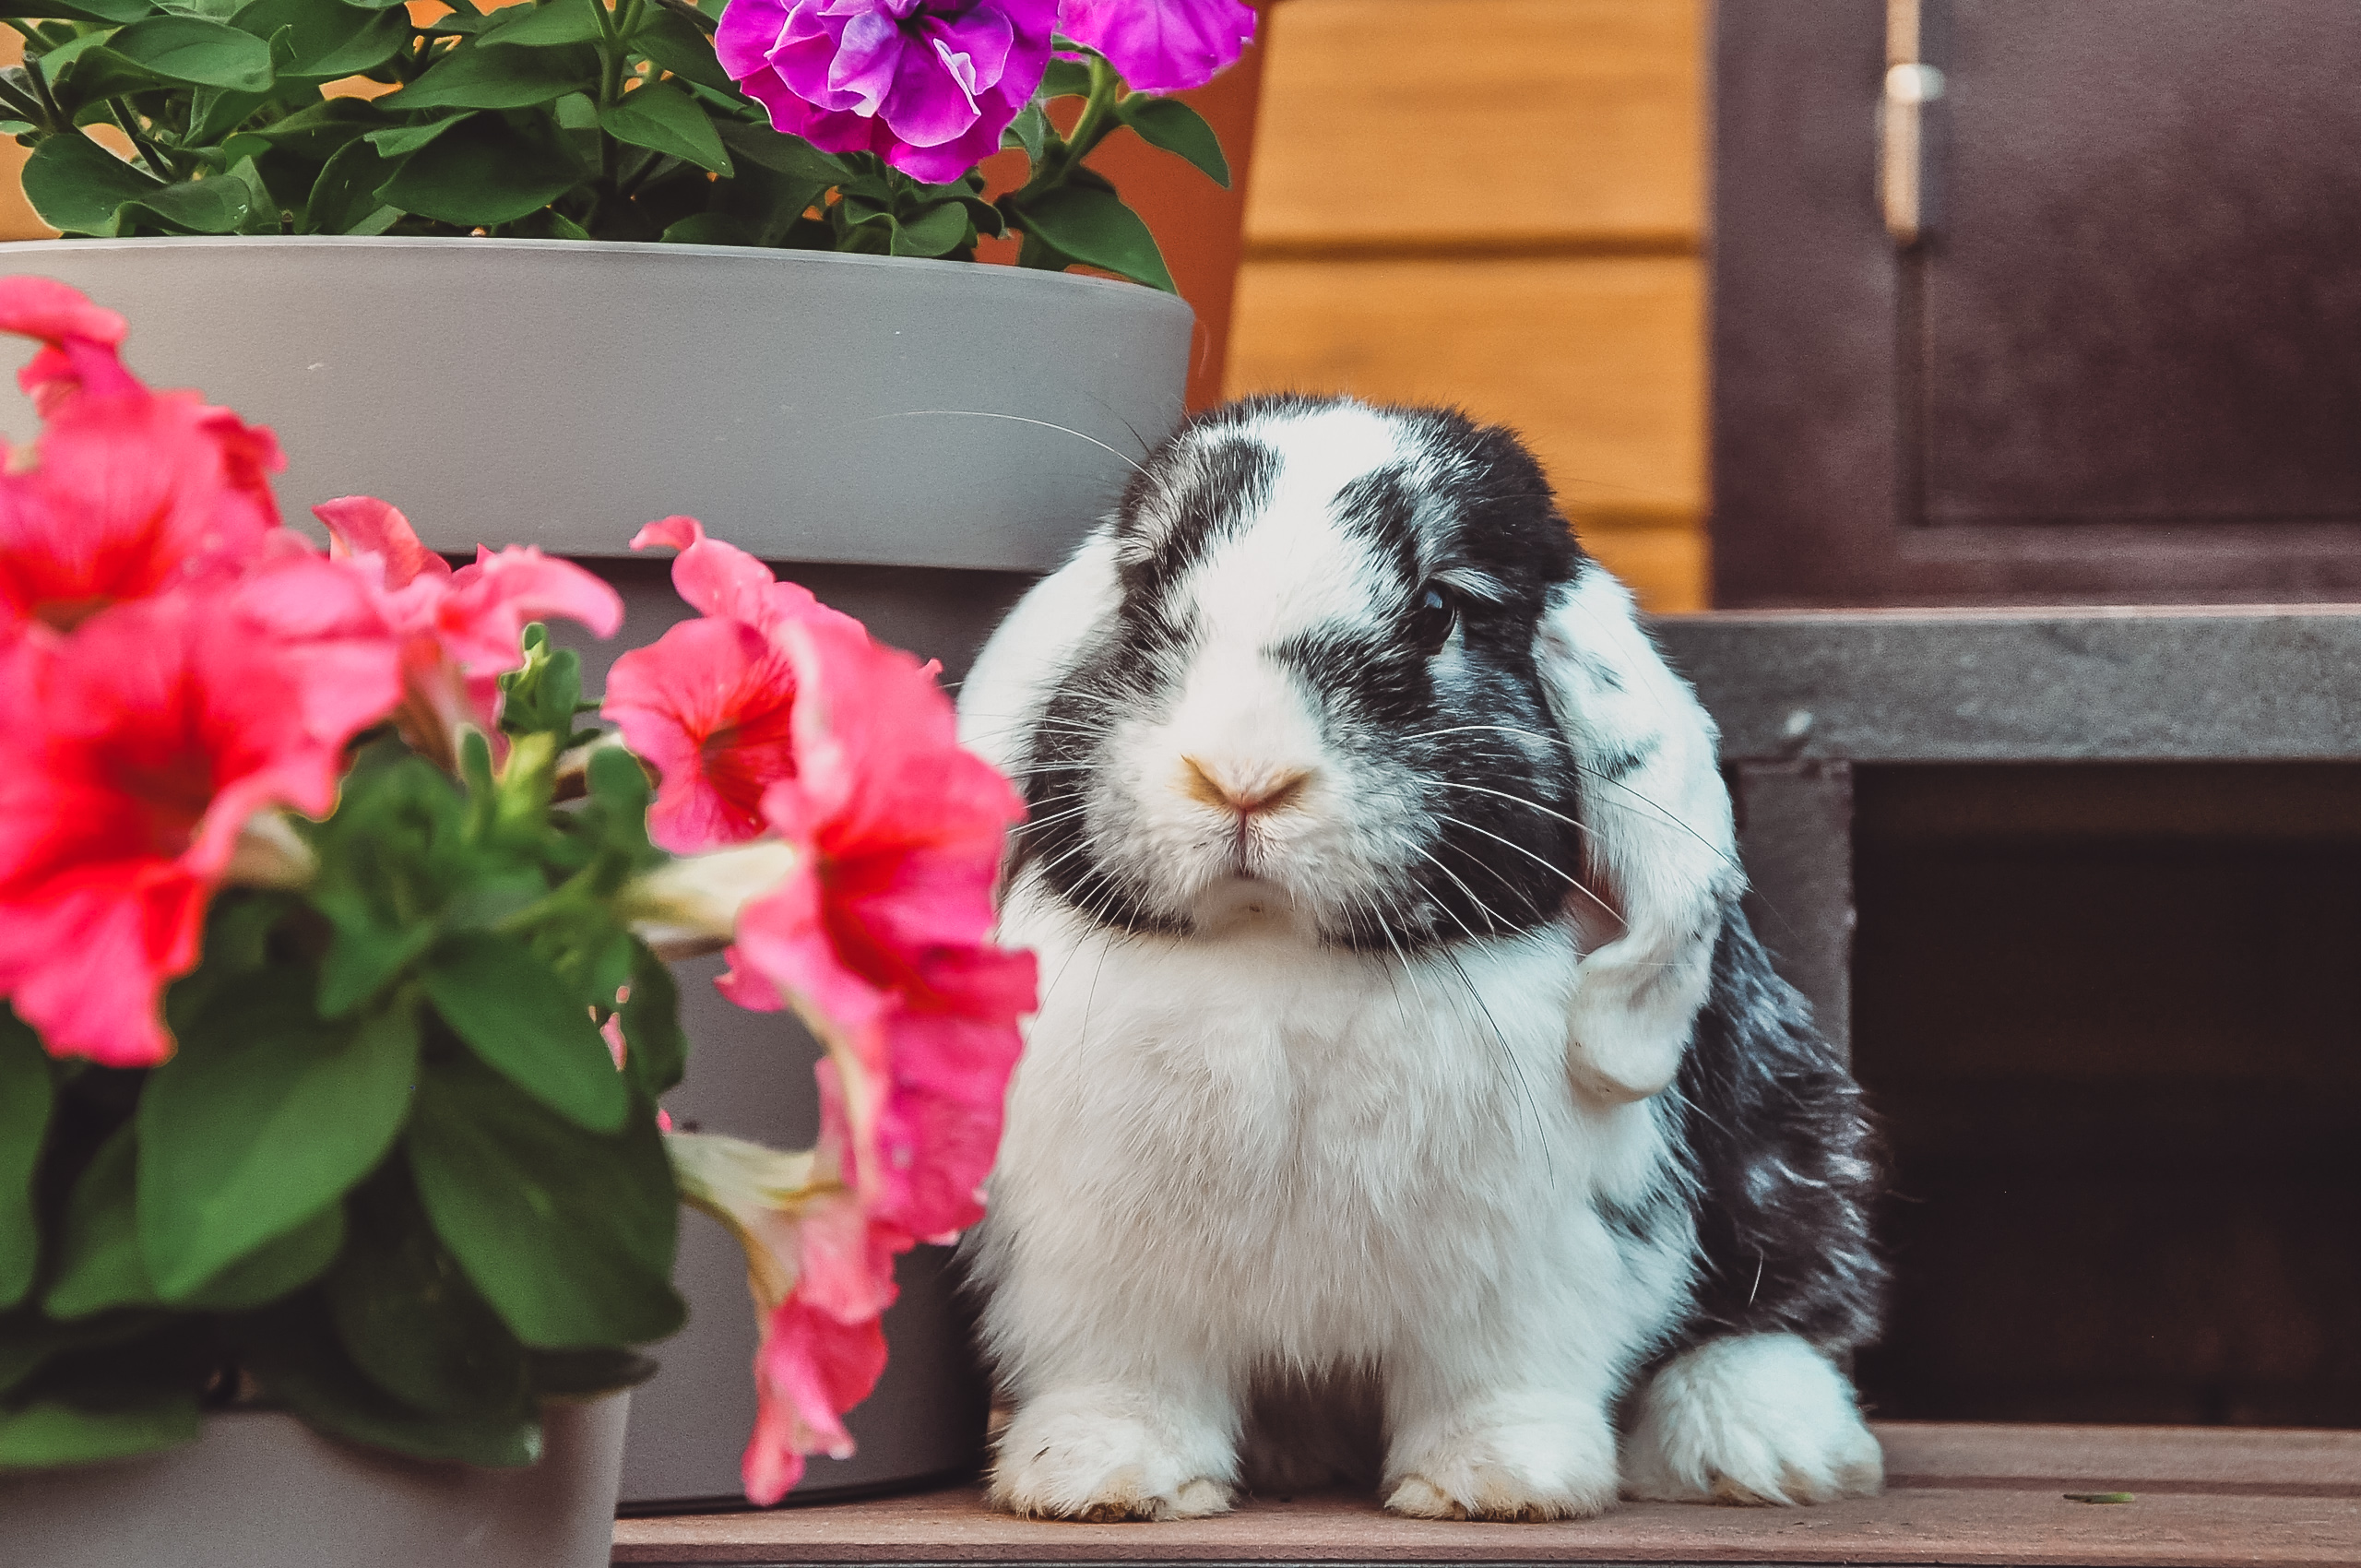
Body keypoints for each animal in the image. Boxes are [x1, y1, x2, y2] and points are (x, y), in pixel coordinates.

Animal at [953, 395, 1884, 1523]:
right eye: (1141, 592)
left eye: (1441, 609)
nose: (1243, 776)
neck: (1280, 956)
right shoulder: (1094, 1274)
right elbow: (1125, 1377)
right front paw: (1102, 1479)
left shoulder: (1532, 1270)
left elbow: (1499, 1380)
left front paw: (1497, 1484)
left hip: (1791, 1137)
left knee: (1787, 1304)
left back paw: (1760, 1445)